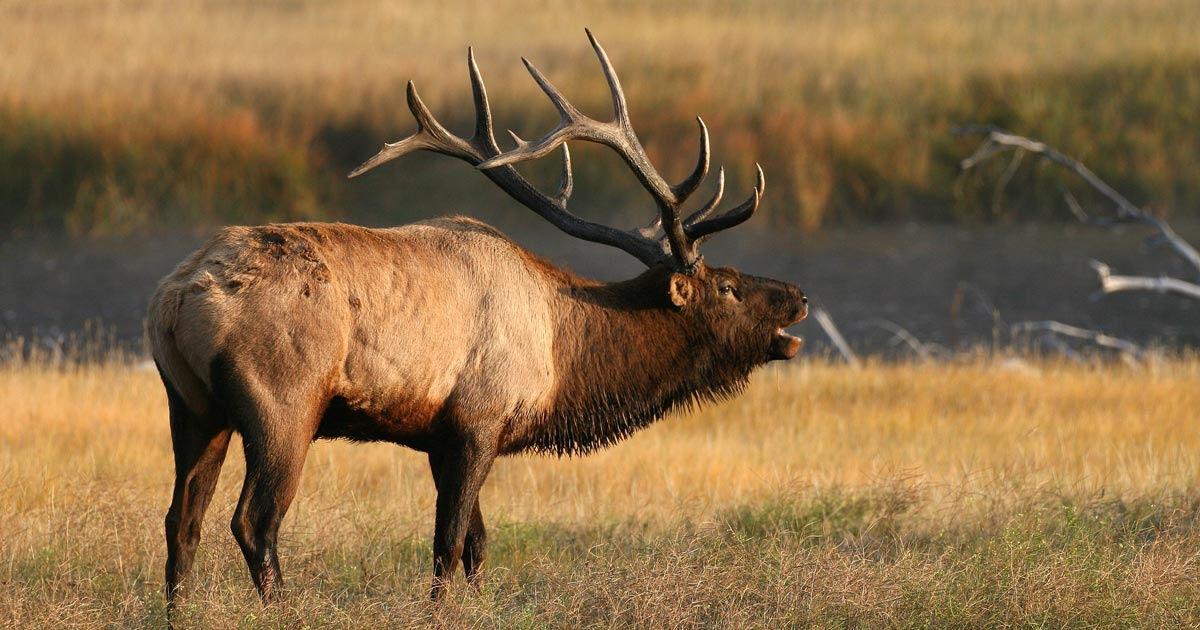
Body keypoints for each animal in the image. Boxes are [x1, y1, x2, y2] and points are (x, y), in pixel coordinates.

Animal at [150, 30, 806, 604]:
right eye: (727, 286)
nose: (799, 294)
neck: (560, 356)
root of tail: (176, 297)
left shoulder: (441, 435)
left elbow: (477, 545)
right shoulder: (477, 420)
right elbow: (447, 543)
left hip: (192, 405)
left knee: (181, 520)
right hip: (284, 404)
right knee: (254, 522)